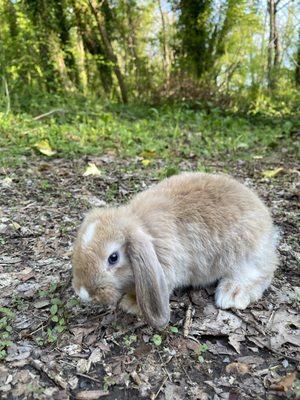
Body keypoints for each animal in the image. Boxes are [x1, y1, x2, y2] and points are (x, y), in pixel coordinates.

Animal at [71, 173, 278, 330]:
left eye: (113, 258)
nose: (83, 293)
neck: (144, 228)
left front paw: (130, 305)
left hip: (246, 253)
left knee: (262, 271)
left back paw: (231, 294)